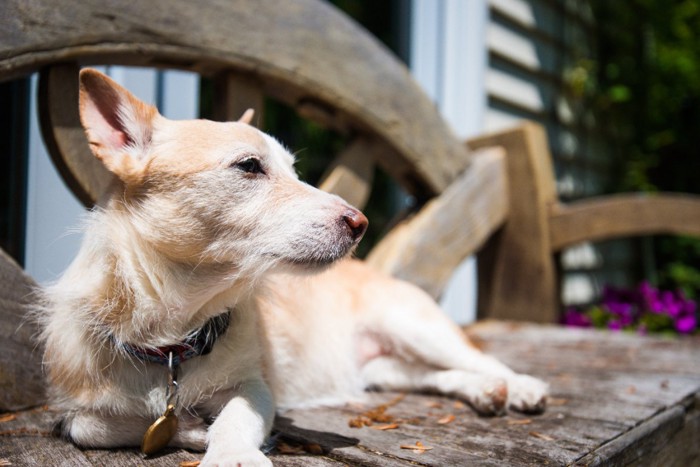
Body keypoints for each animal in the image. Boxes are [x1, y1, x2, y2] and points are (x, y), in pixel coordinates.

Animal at [39, 67, 548, 466]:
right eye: (249, 166)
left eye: (295, 170)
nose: (361, 222)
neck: (173, 338)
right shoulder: (74, 411)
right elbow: (95, 427)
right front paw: (191, 428)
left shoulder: (256, 388)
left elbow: (237, 417)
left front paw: (231, 453)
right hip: (381, 367)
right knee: (429, 375)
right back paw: (485, 391)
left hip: (415, 326)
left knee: (478, 357)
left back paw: (519, 386)